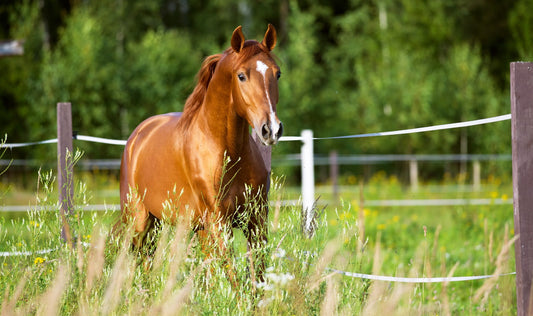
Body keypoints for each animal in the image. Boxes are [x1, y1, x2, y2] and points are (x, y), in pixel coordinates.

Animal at [118, 24, 280, 282]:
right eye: (241, 76)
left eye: (277, 74)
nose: (271, 129)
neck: (229, 153)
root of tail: (137, 136)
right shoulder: (219, 223)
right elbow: (234, 279)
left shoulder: (255, 221)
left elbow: (256, 277)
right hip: (139, 221)